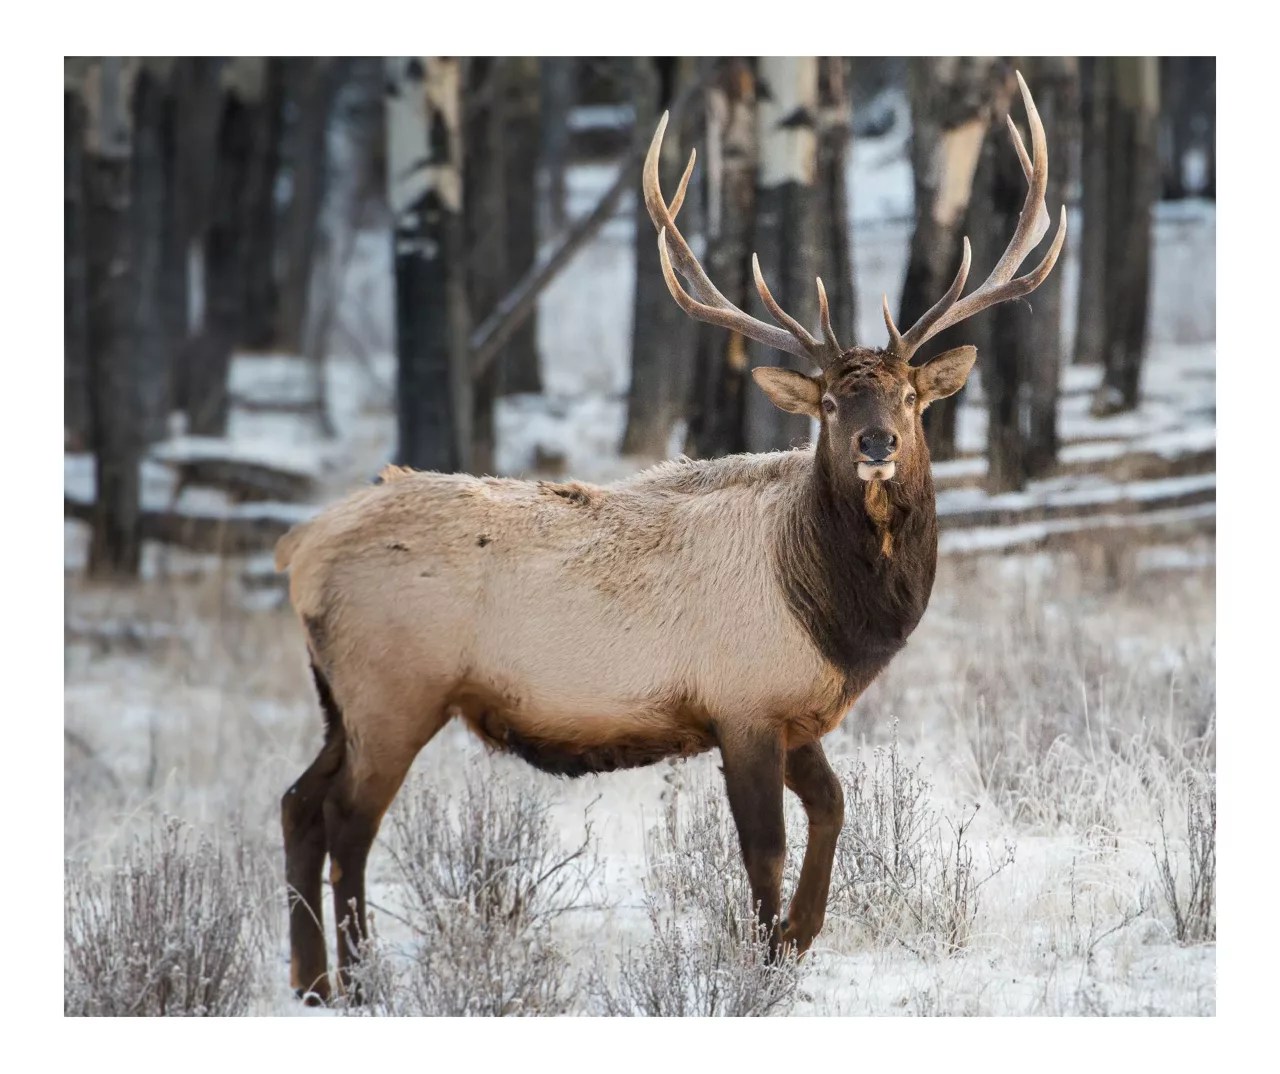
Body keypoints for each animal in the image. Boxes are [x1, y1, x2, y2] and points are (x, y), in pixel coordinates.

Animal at [275, 72, 1065, 1004]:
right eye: (833, 402)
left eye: (910, 397)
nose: (877, 444)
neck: (833, 617)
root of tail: (300, 551)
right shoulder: (743, 702)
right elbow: (764, 847)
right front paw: (764, 963)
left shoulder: (790, 712)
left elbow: (834, 807)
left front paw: (798, 937)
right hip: (395, 685)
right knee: (349, 818)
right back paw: (356, 981)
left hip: (340, 696)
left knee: (298, 802)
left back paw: (311, 979)